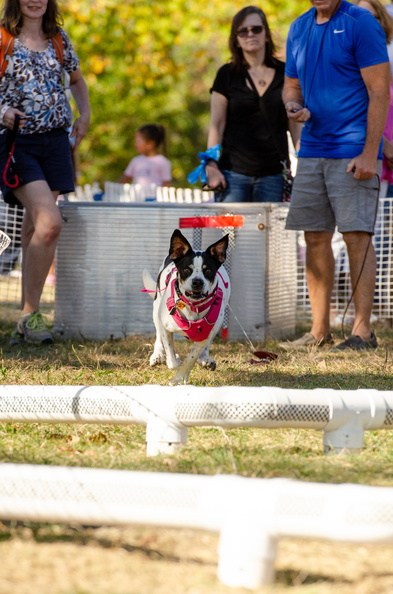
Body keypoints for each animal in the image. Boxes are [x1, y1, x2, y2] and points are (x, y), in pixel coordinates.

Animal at [142, 227, 230, 384]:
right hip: (156, 310)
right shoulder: (165, 327)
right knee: (158, 336)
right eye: (186, 269)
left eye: (208, 270)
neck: (193, 306)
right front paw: (174, 361)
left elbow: (190, 359)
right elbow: (172, 360)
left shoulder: (205, 335)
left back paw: (205, 359)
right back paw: (157, 355)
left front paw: (181, 377)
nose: (197, 282)